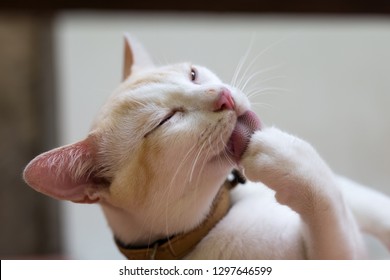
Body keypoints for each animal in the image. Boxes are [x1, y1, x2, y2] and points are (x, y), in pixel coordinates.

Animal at [22, 35, 390, 260]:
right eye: (165, 120)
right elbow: (327, 199)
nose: (224, 96)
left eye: (193, 75)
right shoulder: (341, 252)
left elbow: (361, 199)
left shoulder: (355, 206)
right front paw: (283, 155)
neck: (222, 214)